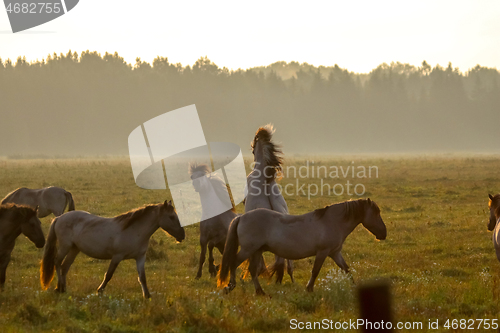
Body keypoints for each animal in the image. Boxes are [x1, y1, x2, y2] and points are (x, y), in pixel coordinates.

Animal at [39, 198, 184, 296]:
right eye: (171, 217)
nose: (182, 235)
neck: (133, 230)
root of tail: (59, 218)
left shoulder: (140, 258)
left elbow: (142, 277)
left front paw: (147, 296)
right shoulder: (117, 257)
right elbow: (108, 275)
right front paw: (99, 291)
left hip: (75, 249)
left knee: (64, 266)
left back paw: (63, 288)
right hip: (65, 246)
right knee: (57, 262)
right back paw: (59, 288)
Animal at [219, 197, 386, 294]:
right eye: (376, 213)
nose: (384, 233)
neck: (332, 222)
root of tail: (241, 217)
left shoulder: (335, 253)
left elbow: (347, 269)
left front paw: (354, 287)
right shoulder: (323, 252)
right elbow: (315, 271)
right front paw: (309, 289)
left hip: (256, 251)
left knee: (253, 270)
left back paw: (260, 291)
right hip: (248, 250)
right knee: (233, 263)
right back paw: (231, 286)